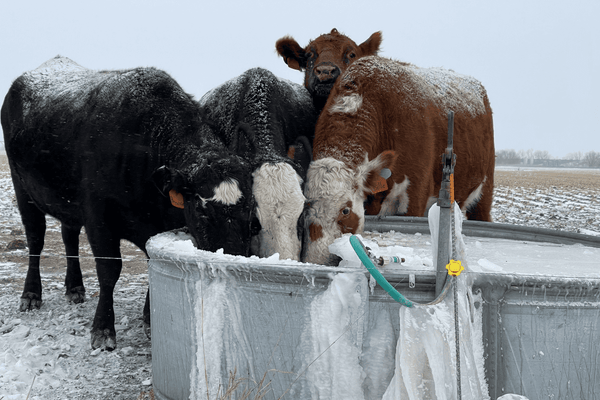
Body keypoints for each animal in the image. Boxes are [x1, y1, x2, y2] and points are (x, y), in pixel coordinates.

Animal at [0, 56, 254, 350]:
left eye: (251, 212)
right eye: (203, 212)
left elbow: (152, 264)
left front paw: (150, 319)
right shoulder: (98, 217)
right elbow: (109, 270)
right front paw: (102, 329)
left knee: (68, 236)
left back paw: (75, 287)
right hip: (23, 191)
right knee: (36, 239)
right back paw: (31, 294)